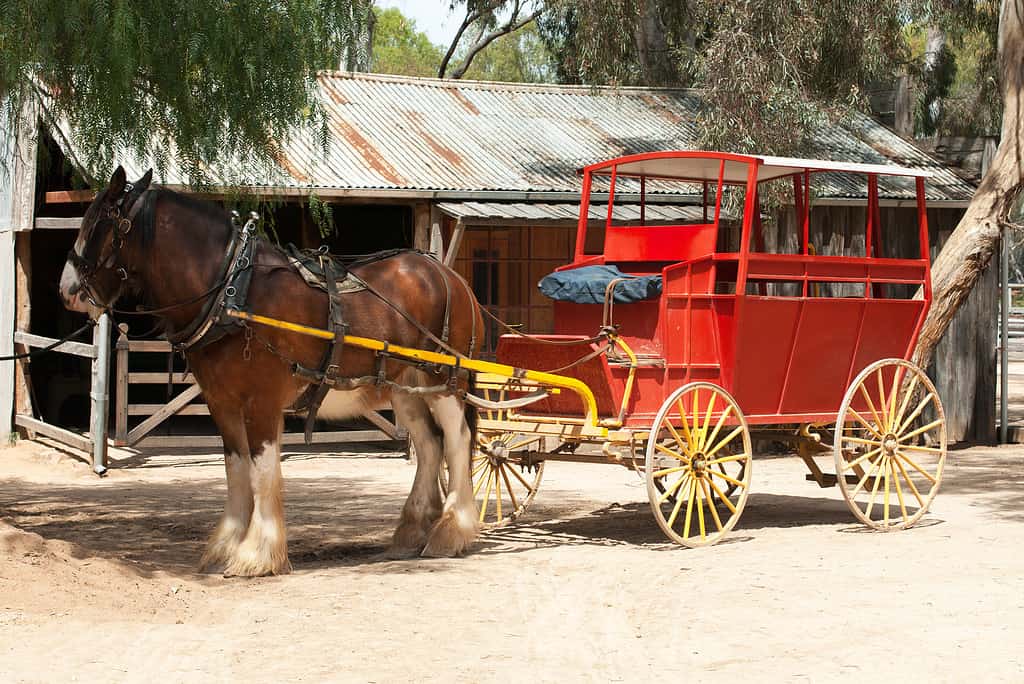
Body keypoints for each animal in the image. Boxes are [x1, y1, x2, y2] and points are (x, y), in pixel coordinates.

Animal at [59, 166, 483, 577]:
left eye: (101, 222)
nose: (67, 290)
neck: (233, 293)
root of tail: (449, 276)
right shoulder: (221, 403)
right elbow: (236, 470)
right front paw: (225, 547)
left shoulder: (261, 402)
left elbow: (262, 471)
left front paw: (257, 554)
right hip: (405, 389)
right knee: (430, 446)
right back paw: (414, 530)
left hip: (443, 383)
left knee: (457, 440)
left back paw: (451, 531)